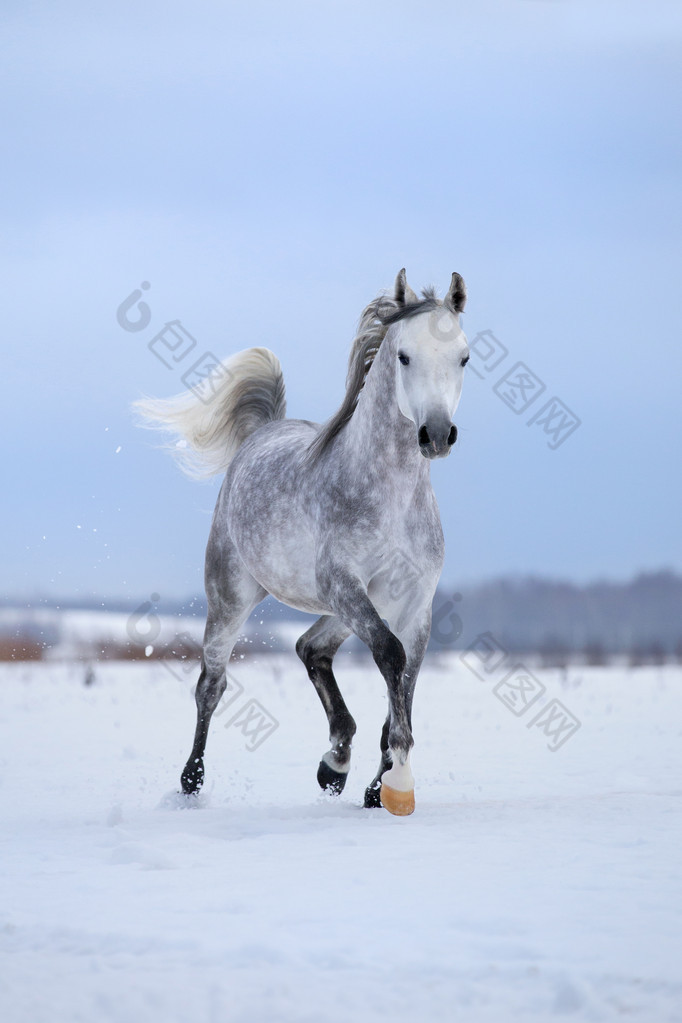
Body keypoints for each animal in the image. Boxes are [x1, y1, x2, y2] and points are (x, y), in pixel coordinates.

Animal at [137, 268, 472, 810]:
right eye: (404, 356)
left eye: (463, 356)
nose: (436, 435)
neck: (392, 499)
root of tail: (262, 433)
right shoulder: (344, 584)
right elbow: (390, 655)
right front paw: (398, 784)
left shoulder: (414, 603)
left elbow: (405, 680)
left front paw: (378, 788)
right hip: (234, 597)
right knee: (212, 684)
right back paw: (191, 781)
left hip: (341, 609)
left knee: (310, 648)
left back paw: (334, 764)